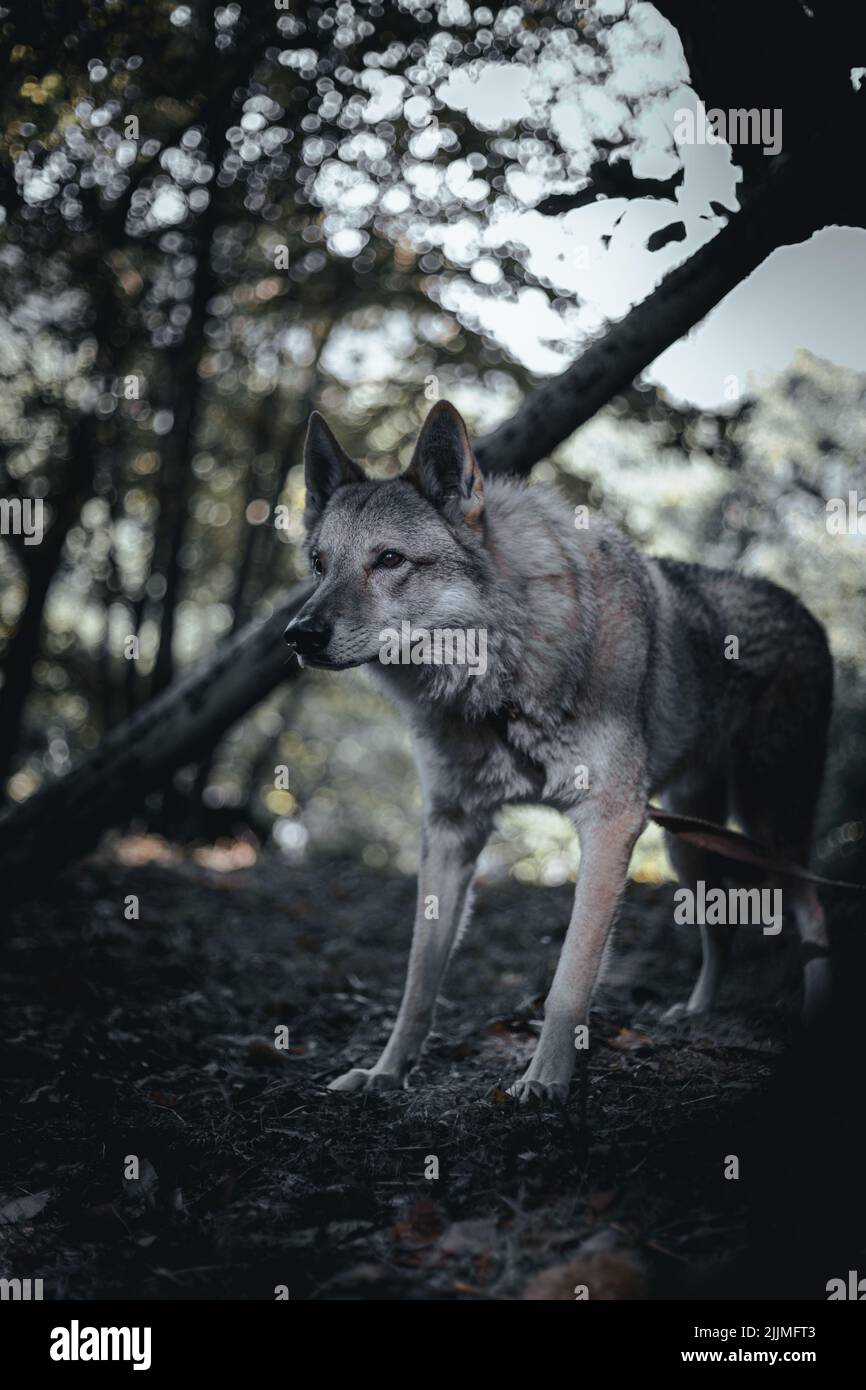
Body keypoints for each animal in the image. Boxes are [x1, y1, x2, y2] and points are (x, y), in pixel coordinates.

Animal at [283, 397, 834, 1100]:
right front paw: (386, 1072)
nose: (298, 635)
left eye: (387, 559)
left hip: (768, 825)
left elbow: (569, 977)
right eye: (318, 564)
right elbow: (418, 981)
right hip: (689, 846)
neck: (497, 690)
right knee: (721, 930)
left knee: (813, 911)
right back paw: (695, 1011)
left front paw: (545, 1081)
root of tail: (806, 612)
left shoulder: (610, 821)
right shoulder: (452, 830)